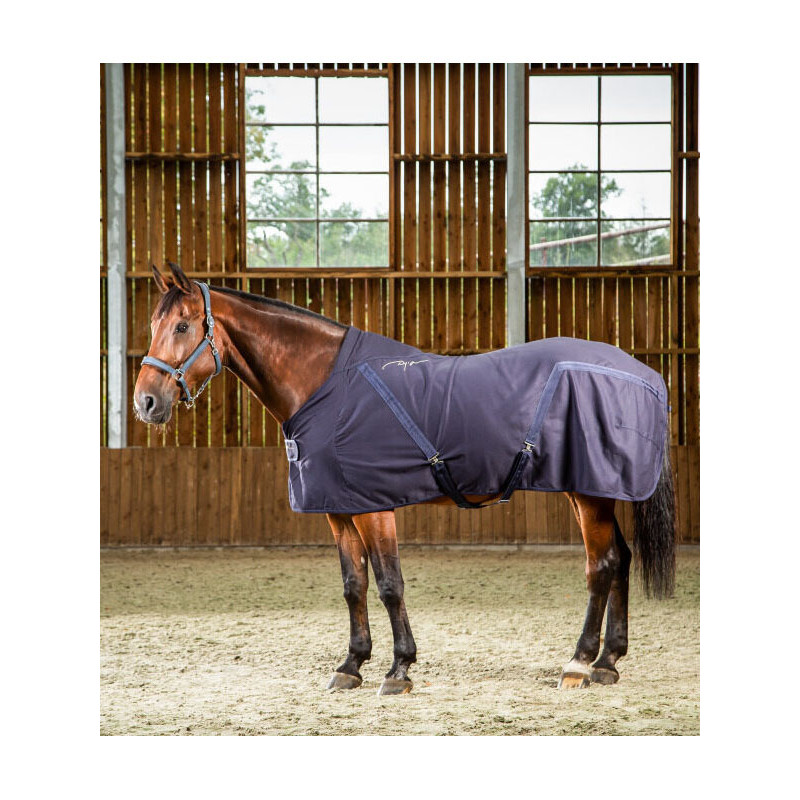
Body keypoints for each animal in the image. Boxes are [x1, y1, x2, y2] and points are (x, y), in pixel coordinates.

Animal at [133, 262, 675, 695]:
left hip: (588, 493)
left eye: (183, 325)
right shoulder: (340, 509)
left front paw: (399, 670)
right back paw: (608, 661)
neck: (325, 384)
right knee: (621, 559)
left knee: (601, 565)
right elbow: (353, 585)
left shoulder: (374, 508)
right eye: (155, 323)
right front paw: (351, 665)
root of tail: (644, 374)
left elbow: (389, 584)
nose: (145, 402)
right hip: (597, 491)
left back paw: (579, 663)